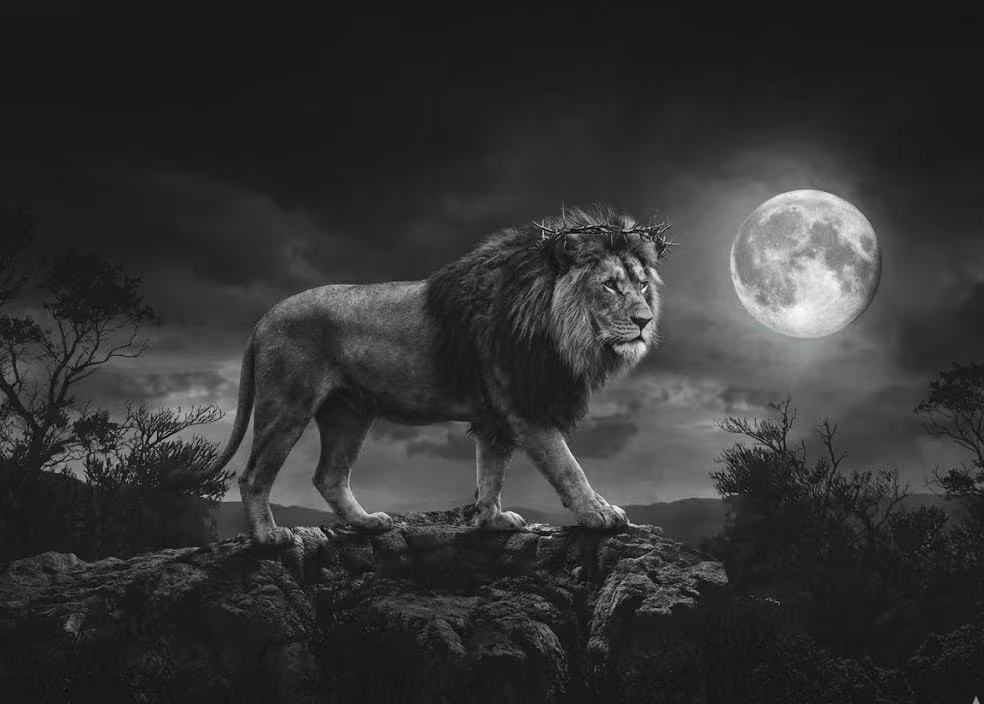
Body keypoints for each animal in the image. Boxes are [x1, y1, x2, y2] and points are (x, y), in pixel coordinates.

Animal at [183, 206, 670, 545]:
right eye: (610, 285)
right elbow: (568, 466)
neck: (558, 325)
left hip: (349, 413)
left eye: (643, 284)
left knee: (329, 476)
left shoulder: (495, 418)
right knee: (253, 476)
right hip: (288, 405)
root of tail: (262, 320)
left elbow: (490, 472)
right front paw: (598, 513)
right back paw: (269, 538)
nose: (644, 321)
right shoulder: (523, 407)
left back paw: (368, 524)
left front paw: (492, 520)